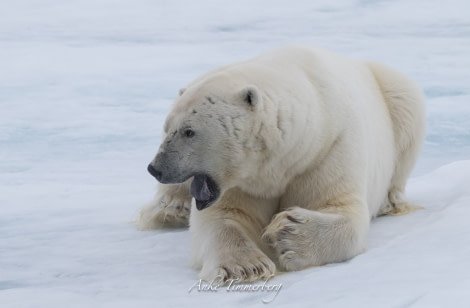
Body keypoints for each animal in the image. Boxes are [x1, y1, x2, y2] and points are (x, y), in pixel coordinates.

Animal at [139, 45, 426, 282]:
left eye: (189, 131)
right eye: (167, 128)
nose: (155, 168)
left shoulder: (329, 148)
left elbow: (342, 209)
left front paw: (288, 234)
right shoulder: (245, 182)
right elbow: (225, 216)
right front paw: (245, 267)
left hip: (395, 94)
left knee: (407, 106)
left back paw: (392, 201)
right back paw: (171, 209)